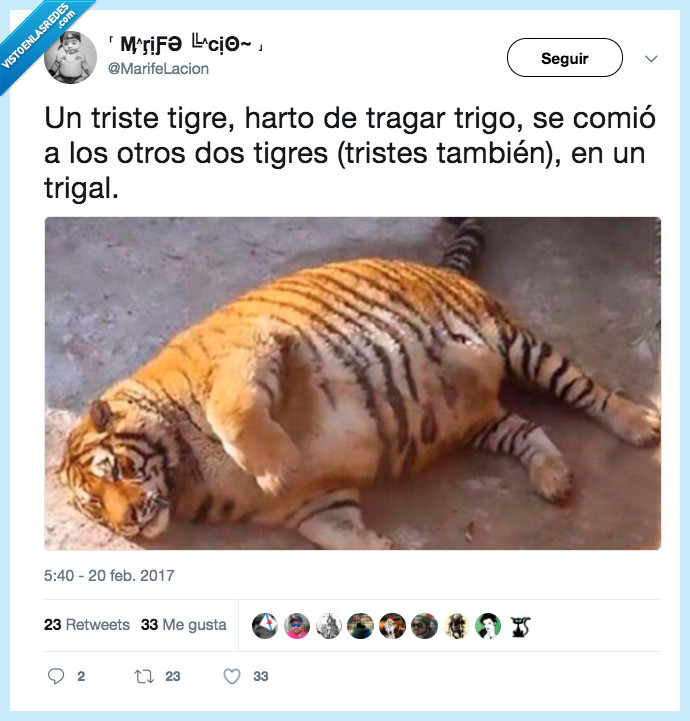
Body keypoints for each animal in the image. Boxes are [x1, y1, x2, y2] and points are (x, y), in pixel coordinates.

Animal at [59, 219, 660, 550]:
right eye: (96, 505)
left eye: (115, 470)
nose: (129, 522)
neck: (185, 475)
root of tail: (441, 268)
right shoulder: (315, 505)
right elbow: (339, 537)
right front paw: (384, 549)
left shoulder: (249, 353)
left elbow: (235, 413)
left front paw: (277, 466)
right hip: (480, 423)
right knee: (528, 429)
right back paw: (554, 479)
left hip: (516, 344)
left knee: (587, 389)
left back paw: (641, 423)